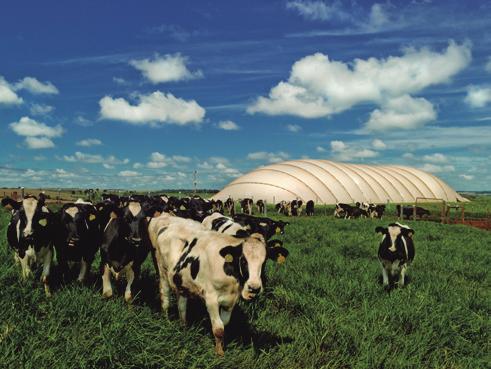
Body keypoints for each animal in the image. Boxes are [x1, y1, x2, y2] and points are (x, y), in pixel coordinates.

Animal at [149, 217, 288, 356]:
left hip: (181, 279)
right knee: (165, 297)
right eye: (243, 260)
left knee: (182, 304)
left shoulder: (231, 301)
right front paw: (219, 353)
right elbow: (219, 328)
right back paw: (166, 320)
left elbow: (224, 324)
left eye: (264, 261)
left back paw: (183, 326)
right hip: (162, 270)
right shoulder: (211, 298)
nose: (254, 288)